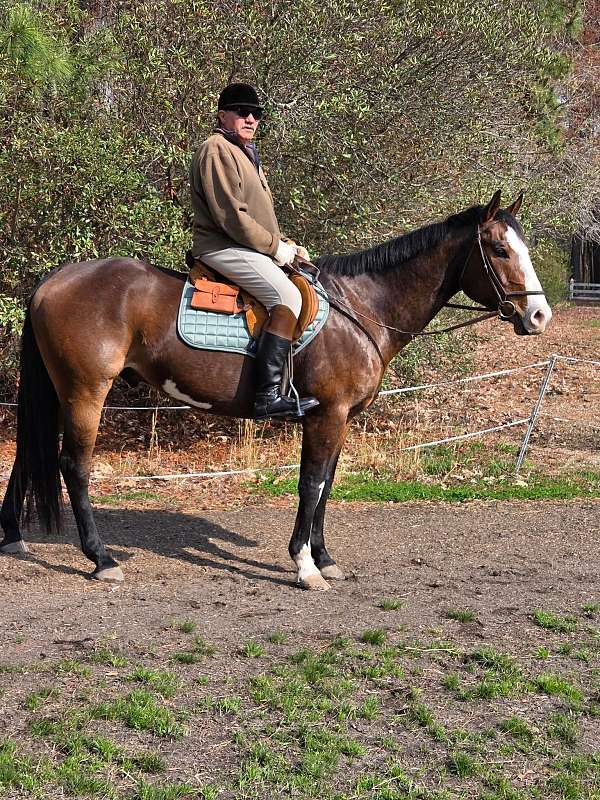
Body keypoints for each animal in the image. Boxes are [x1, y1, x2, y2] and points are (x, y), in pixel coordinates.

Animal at [0, 190, 552, 590]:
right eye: (500, 250)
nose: (540, 315)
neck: (362, 307)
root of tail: (53, 280)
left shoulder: (339, 418)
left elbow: (327, 484)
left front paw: (324, 558)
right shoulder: (327, 414)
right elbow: (310, 484)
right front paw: (305, 567)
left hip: (57, 393)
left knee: (28, 457)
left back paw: (13, 537)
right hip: (85, 393)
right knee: (73, 467)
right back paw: (101, 558)